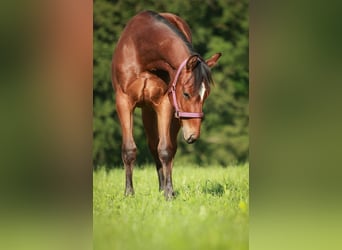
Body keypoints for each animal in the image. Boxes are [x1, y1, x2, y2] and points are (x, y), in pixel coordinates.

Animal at [111, 10, 220, 199]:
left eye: (206, 95)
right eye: (186, 93)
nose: (194, 134)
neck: (141, 52)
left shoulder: (164, 103)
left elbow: (166, 149)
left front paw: (169, 193)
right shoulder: (124, 102)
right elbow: (129, 150)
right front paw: (129, 192)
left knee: (166, 147)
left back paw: (164, 187)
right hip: (148, 111)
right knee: (152, 145)